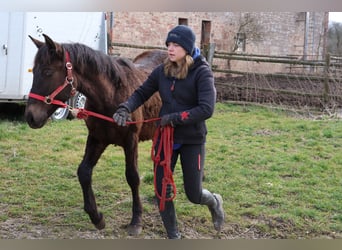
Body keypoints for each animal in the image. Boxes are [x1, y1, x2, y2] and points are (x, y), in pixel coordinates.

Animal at [24, 33, 167, 236]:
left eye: (47, 72)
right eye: (34, 71)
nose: (30, 116)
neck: (112, 96)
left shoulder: (131, 141)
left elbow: (133, 177)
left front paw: (136, 221)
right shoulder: (97, 138)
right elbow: (84, 172)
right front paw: (96, 217)